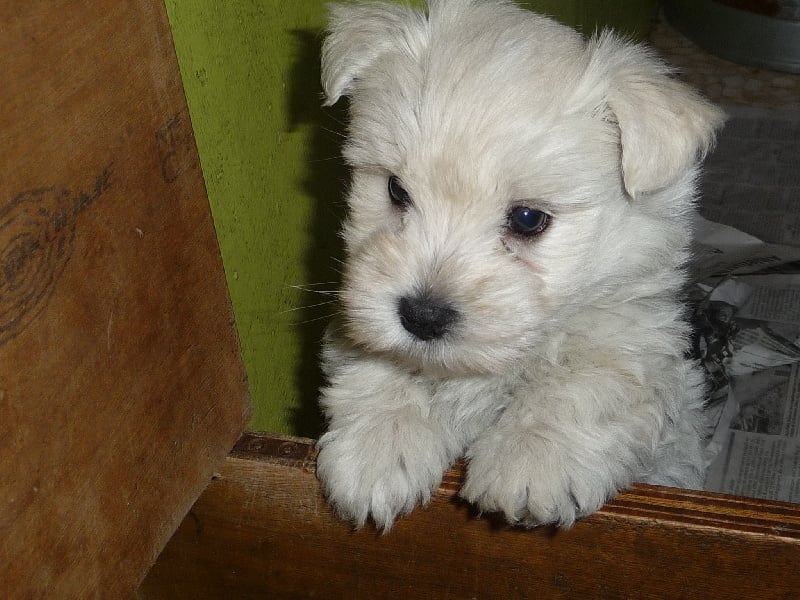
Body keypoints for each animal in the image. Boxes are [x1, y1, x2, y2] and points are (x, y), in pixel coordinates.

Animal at [315, 0, 725, 531]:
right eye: (396, 191)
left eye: (528, 219)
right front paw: (380, 445)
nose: (422, 316)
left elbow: (589, 378)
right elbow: (375, 364)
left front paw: (531, 459)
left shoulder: (634, 333)